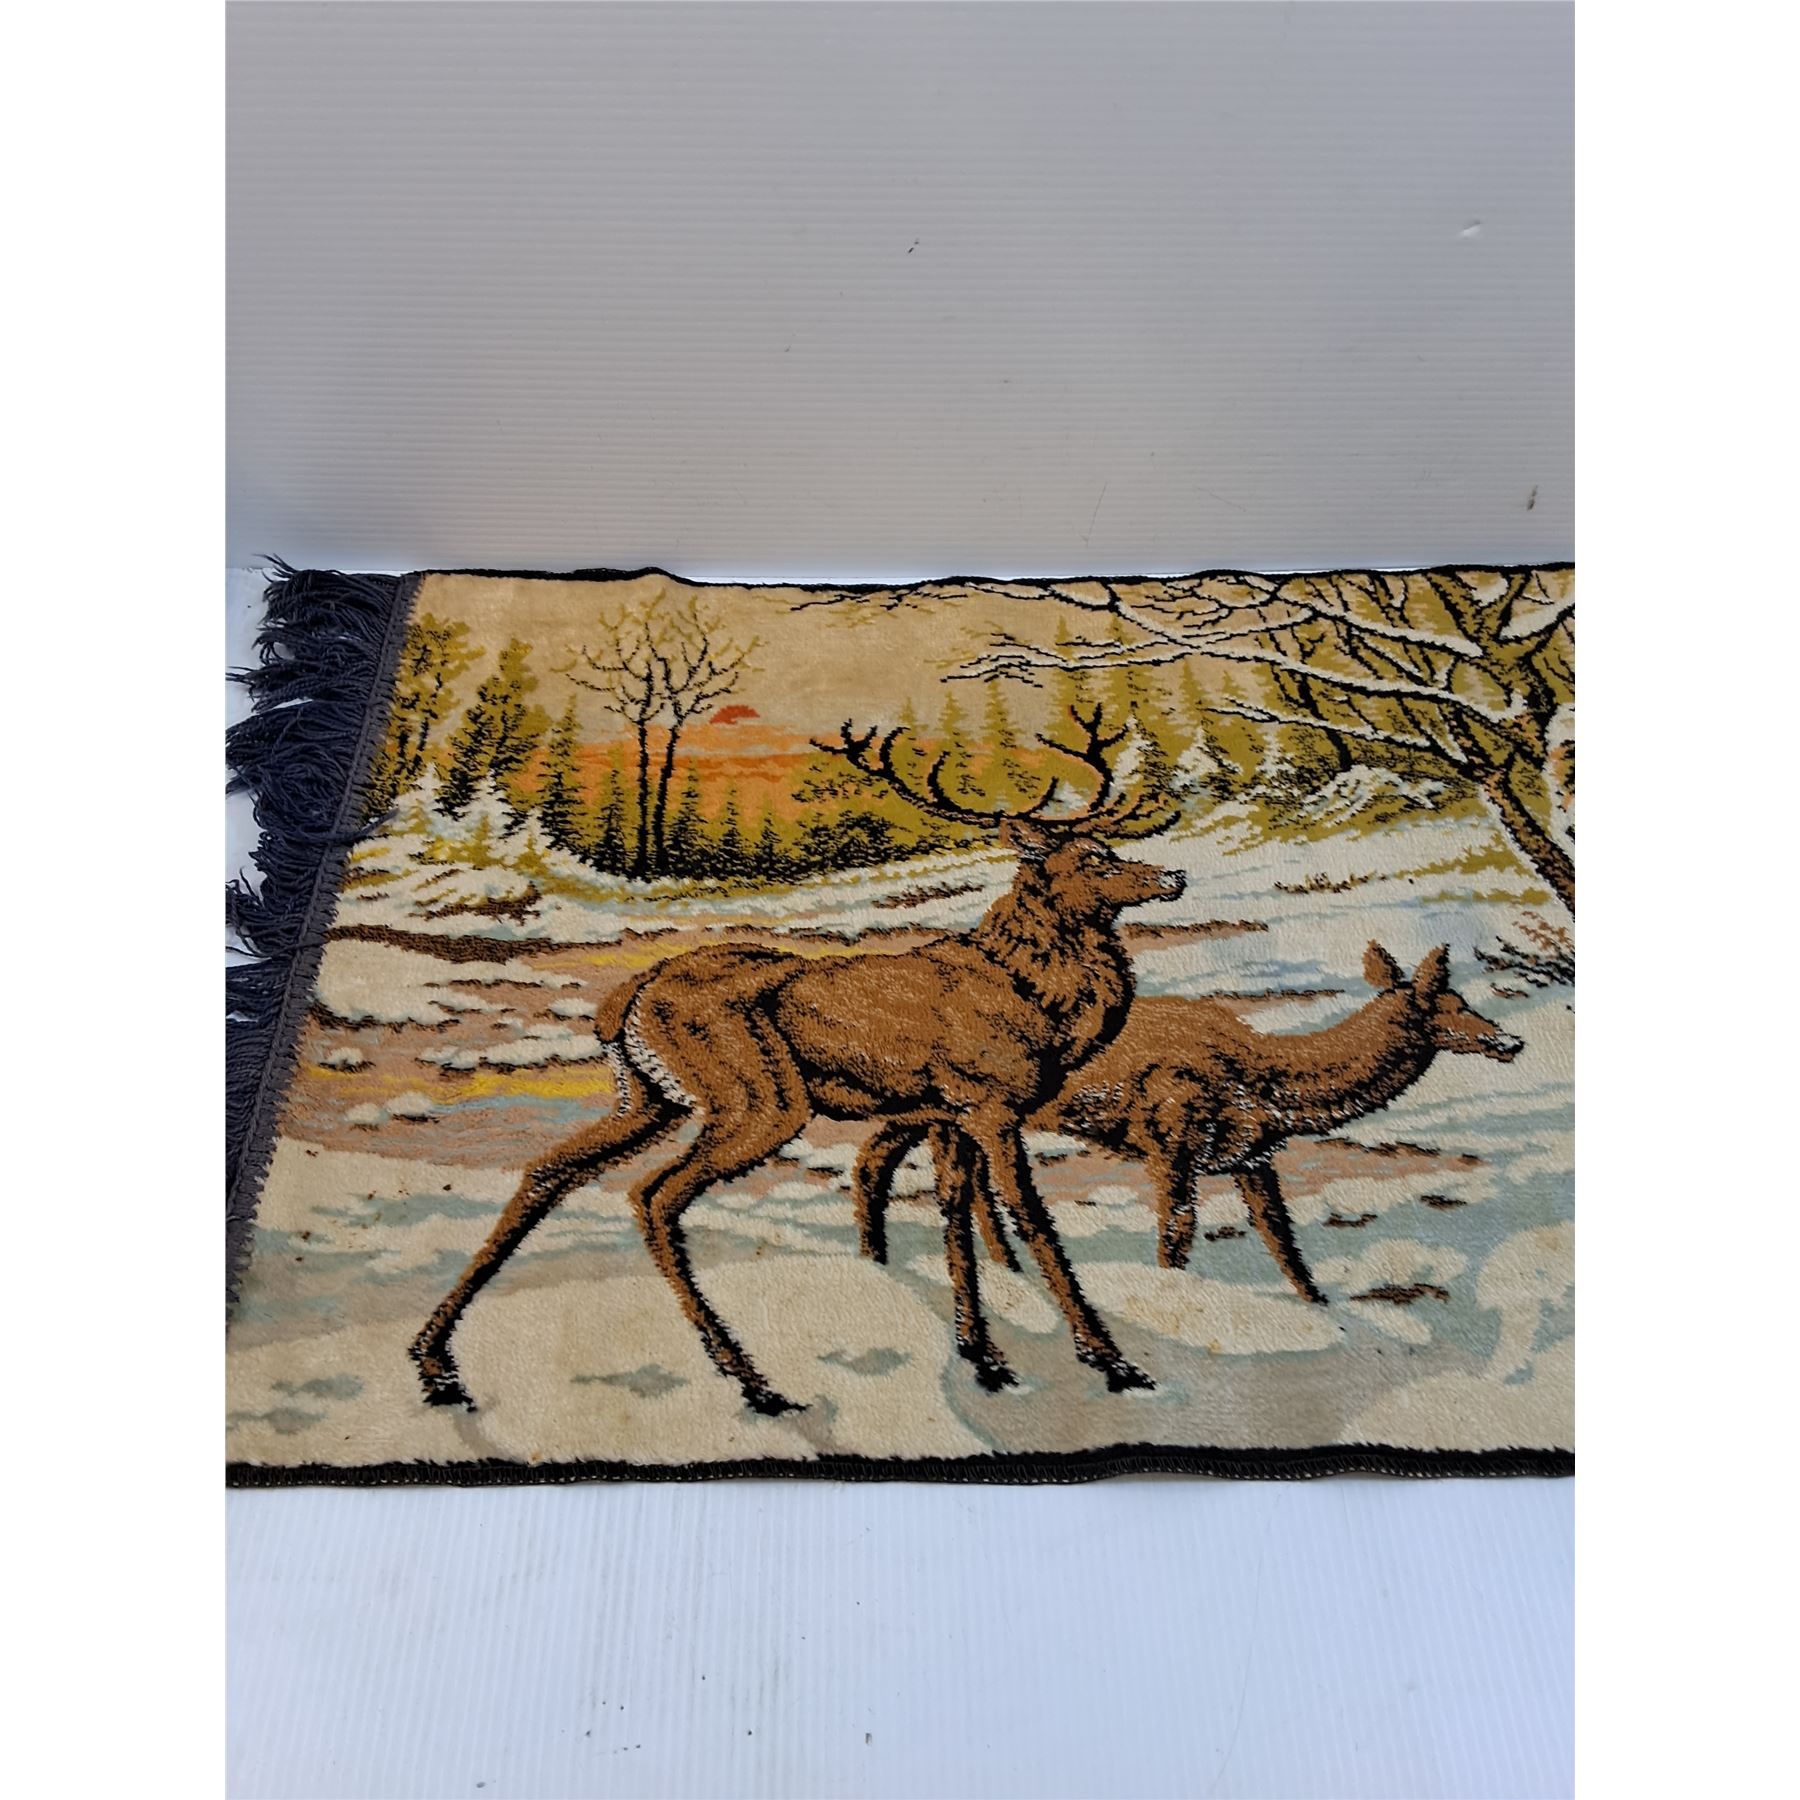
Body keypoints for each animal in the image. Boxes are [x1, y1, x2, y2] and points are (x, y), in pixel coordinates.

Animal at [409, 706, 1187, 1417]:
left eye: (1110, 846)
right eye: (1093, 860)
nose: (1173, 874)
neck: (1037, 998)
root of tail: (626, 998)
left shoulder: (947, 1113)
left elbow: (956, 1220)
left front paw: (985, 1357)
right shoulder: (990, 1103)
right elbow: (1033, 1221)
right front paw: (1112, 1362)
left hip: (649, 1096)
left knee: (552, 1169)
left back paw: (436, 1363)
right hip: (758, 1096)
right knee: (655, 1194)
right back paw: (753, 1380)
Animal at [852, 942, 1524, 1307]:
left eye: (1465, 999)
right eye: (1446, 1006)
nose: (1510, 1041)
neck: (1264, 1077)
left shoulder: (1253, 1155)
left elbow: (1284, 1243)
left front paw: (1322, 1308)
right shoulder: (1169, 1138)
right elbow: (1177, 1236)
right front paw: (1173, 1298)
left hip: (954, 1112)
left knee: (917, 1168)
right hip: (931, 1101)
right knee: (876, 1160)